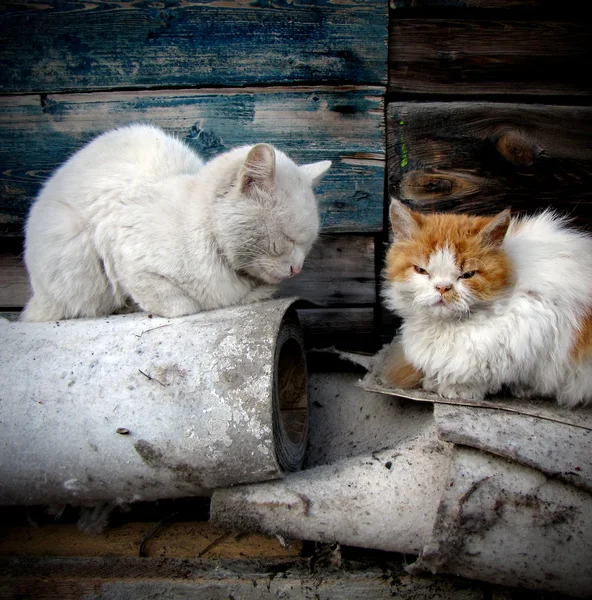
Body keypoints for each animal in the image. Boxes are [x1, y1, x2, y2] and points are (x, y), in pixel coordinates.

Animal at [382, 199, 592, 410]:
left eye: (467, 275)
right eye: (421, 270)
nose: (443, 287)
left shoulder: (535, 327)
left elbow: (487, 372)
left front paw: (459, 390)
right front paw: (434, 382)